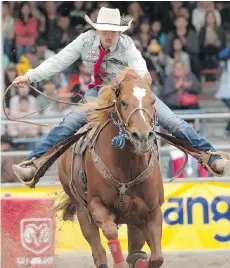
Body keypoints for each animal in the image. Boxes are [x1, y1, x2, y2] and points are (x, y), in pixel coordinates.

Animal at [58, 68, 164, 268]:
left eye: (153, 101)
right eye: (123, 102)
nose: (143, 136)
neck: (127, 166)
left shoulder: (153, 211)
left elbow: (156, 258)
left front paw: (139, 261)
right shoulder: (97, 206)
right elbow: (110, 231)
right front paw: (121, 263)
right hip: (81, 209)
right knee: (98, 251)